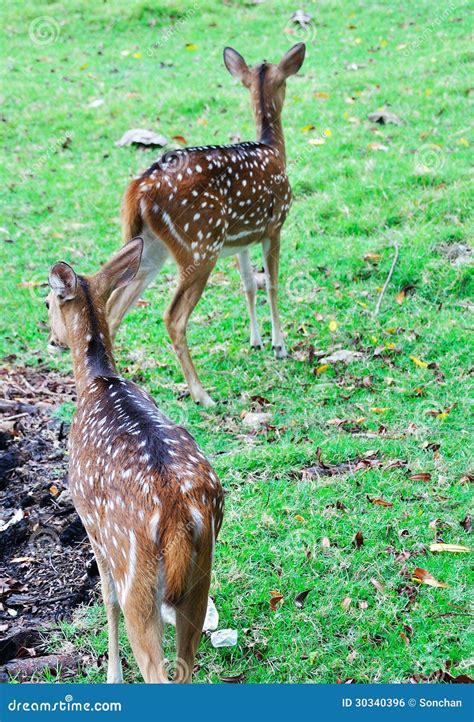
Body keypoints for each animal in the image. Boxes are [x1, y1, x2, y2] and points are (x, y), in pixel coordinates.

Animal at [47, 239, 225, 684]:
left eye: (46, 302)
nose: (51, 338)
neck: (97, 380)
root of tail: (178, 516)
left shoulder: (90, 524)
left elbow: (105, 597)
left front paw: (111, 675)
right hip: (201, 574)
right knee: (185, 665)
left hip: (136, 574)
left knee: (155, 665)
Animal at [106, 42, 308, 404]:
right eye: (284, 82)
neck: (273, 148)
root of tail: (138, 190)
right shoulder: (274, 226)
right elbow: (271, 284)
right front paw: (279, 345)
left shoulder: (240, 240)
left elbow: (248, 285)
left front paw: (256, 341)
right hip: (200, 243)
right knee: (172, 316)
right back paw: (202, 394)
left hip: (150, 248)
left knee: (114, 308)